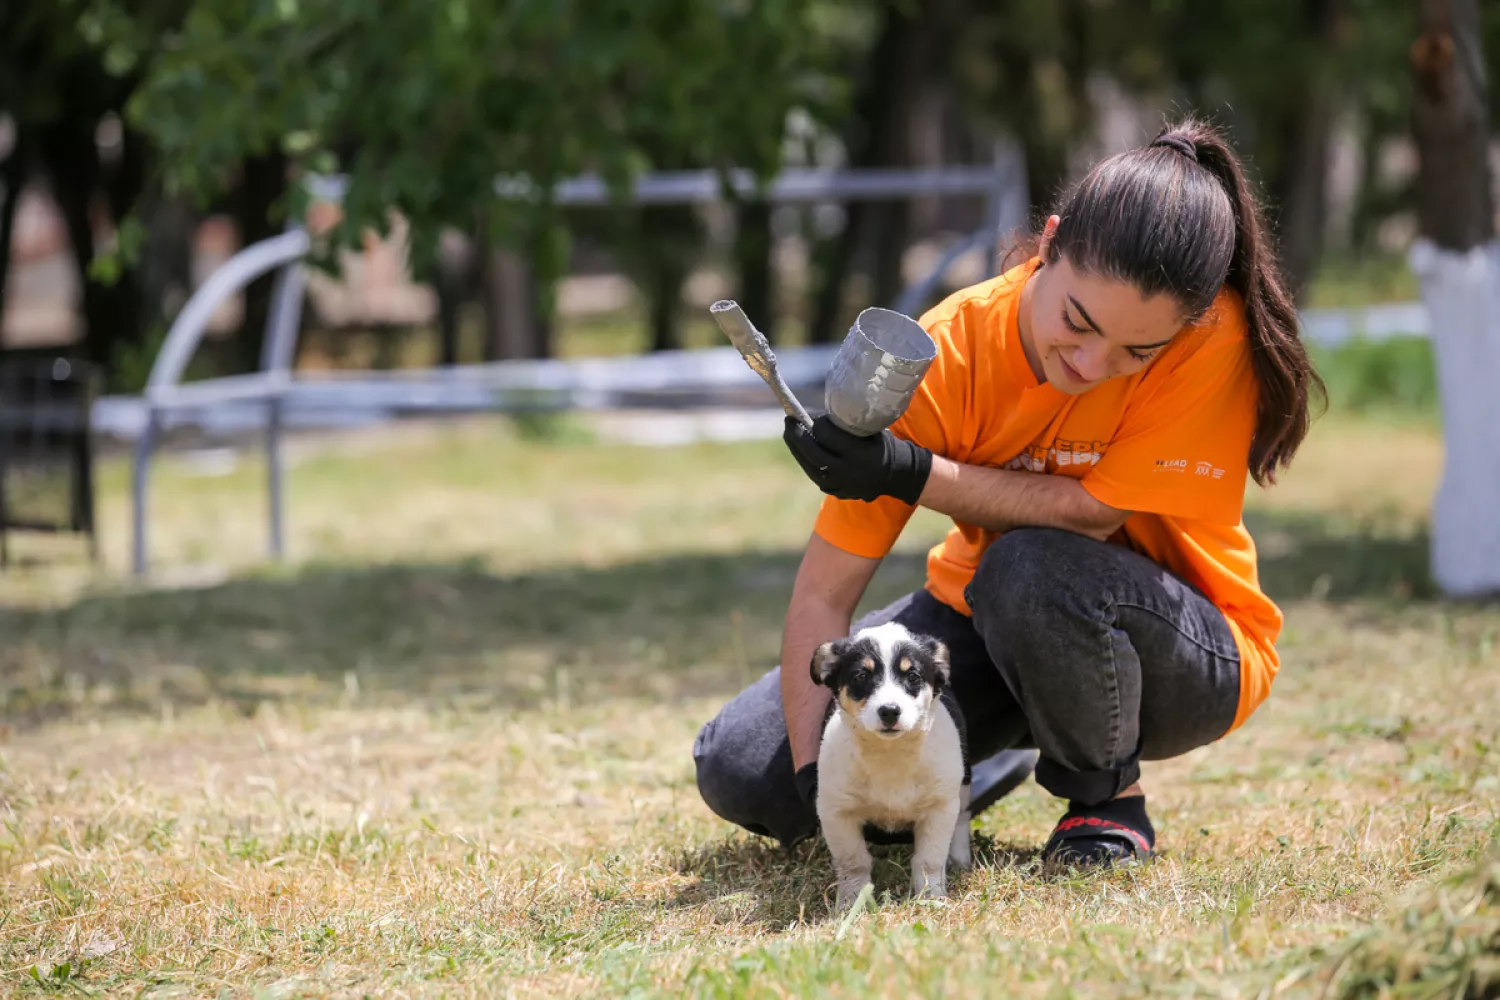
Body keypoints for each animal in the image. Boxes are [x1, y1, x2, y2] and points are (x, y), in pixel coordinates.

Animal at [810, 626, 972, 917]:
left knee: (963, 817)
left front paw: (931, 898)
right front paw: (851, 904)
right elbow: (853, 862)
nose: (889, 711)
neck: (890, 753)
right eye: (861, 676)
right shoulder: (836, 811)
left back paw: (960, 858)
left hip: (962, 785)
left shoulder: (939, 808)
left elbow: (929, 860)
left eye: (913, 676)